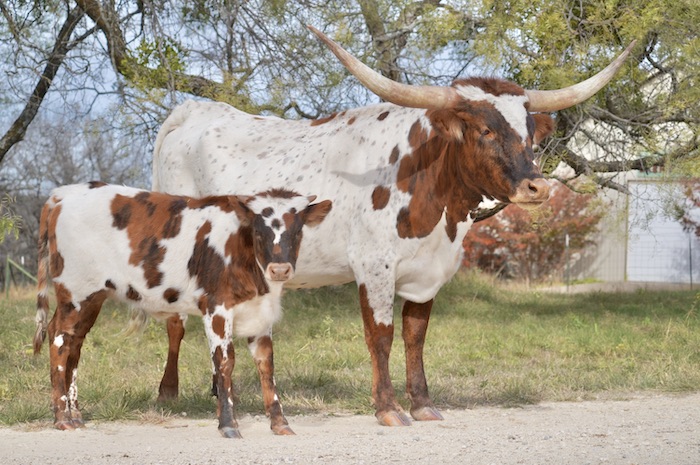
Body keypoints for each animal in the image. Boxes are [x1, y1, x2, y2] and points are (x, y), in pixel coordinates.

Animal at [34, 180, 334, 436]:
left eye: (298, 232)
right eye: (259, 232)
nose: (280, 269)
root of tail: (62, 195)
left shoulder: (259, 314)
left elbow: (266, 364)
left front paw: (280, 423)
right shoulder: (216, 307)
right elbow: (224, 362)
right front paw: (228, 424)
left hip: (92, 298)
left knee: (73, 343)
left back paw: (75, 414)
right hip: (75, 293)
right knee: (59, 341)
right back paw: (62, 418)